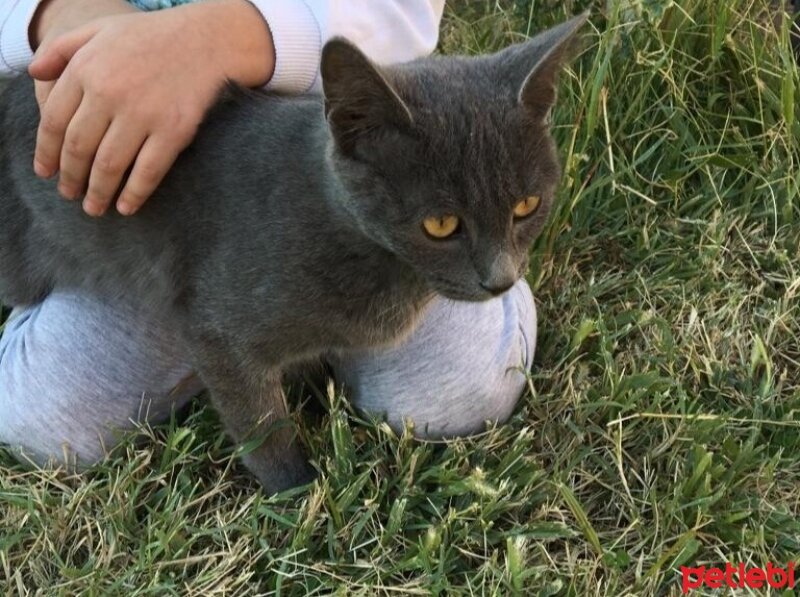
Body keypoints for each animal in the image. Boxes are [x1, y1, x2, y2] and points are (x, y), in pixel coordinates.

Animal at [0, 14, 588, 492]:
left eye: (527, 205)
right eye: (441, 224)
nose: (500, 279)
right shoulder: (219, 331)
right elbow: (261, 422)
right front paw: (296, 493)